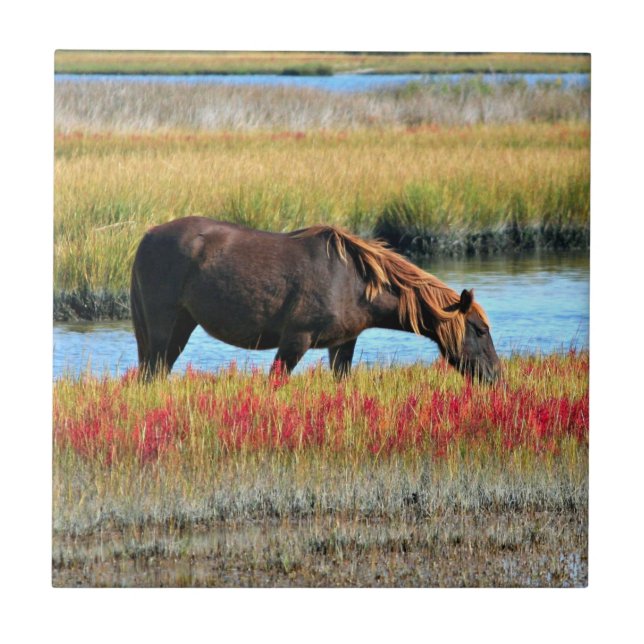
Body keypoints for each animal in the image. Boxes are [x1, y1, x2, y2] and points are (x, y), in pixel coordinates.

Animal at [131, 217, 501, 382]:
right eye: (480, 330)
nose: (496, 376)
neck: (355, 280)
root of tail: (148, 236)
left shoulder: (343, 344)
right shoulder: (295, 340)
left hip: (182, 326)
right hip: (163, 328)